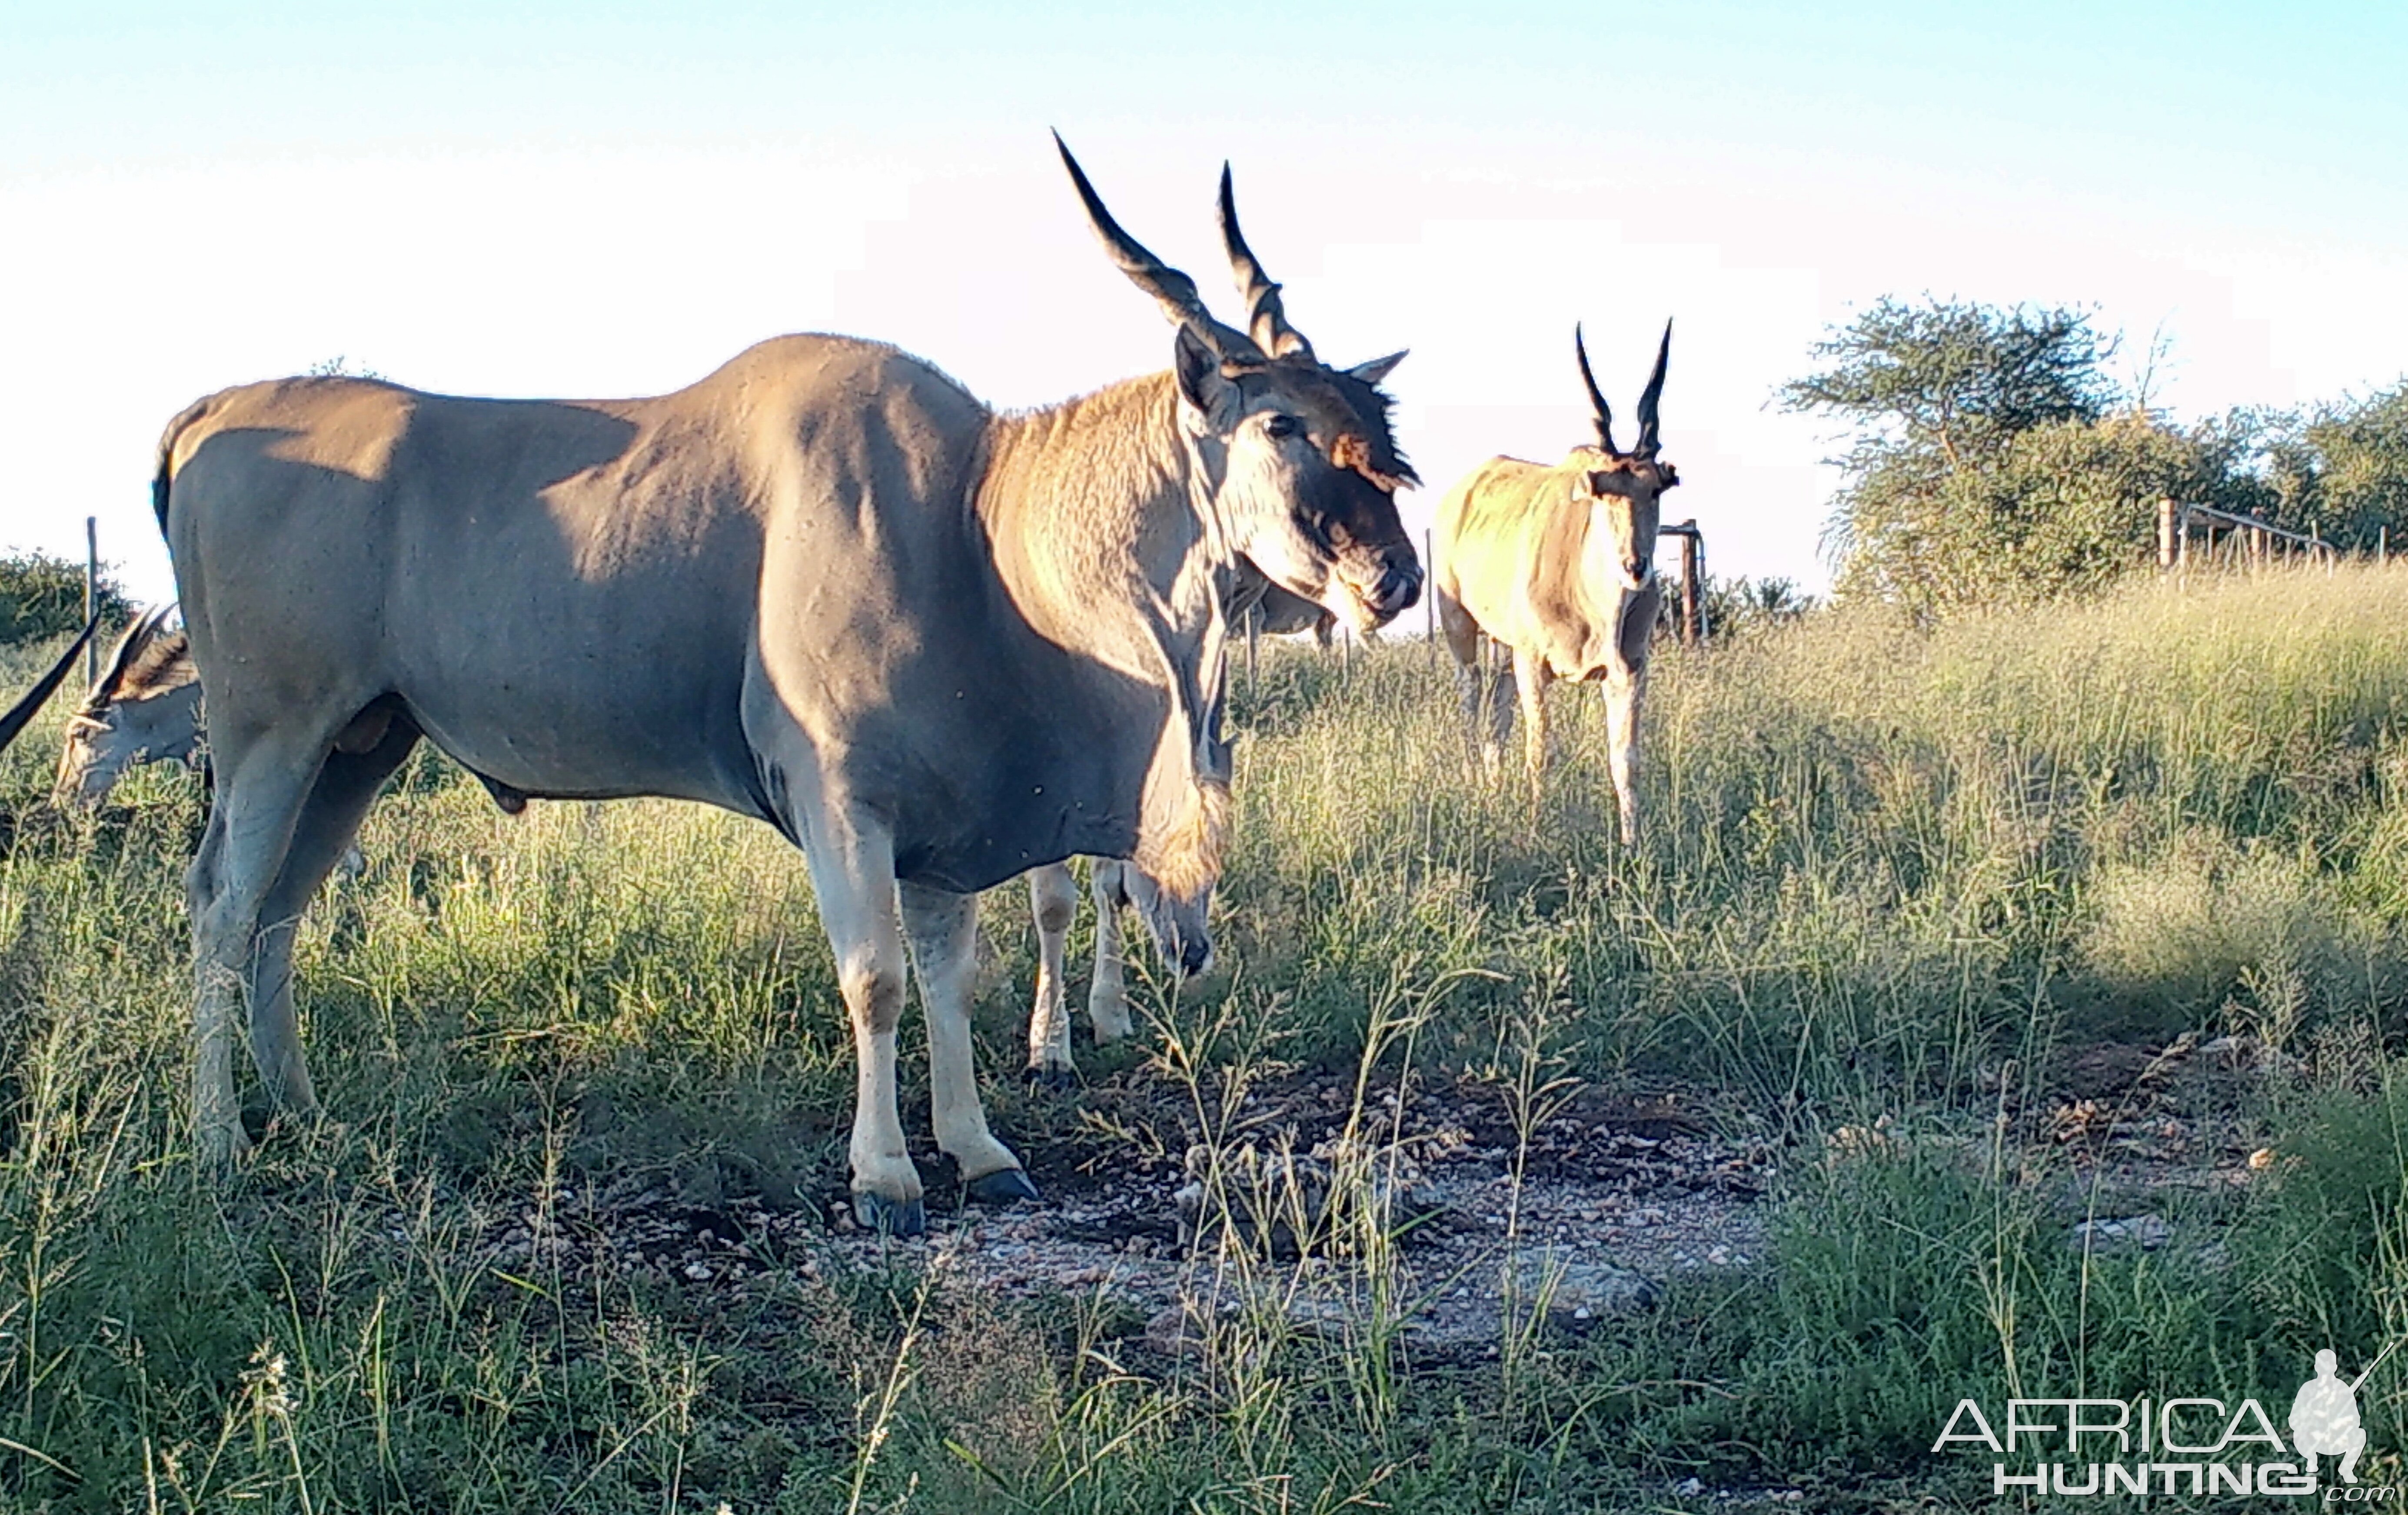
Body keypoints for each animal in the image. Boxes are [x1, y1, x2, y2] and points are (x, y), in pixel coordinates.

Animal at [160, 139, 1416, 1228]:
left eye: (1371, 417)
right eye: (1282, 423)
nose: (1396, 576)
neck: (970, 521)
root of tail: (204, 416)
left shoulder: (943, 820)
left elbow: (949, 979)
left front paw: (978, 1149)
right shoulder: (841, 800)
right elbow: (877, 979)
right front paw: (887, 1177)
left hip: (363, 743)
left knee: (280, 910)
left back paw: (306, 1116)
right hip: (272, 731)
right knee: (221, 905)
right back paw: (219, 1144)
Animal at [1425, 322, 1676, 843]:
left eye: (1656, 489)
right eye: (1604, 492)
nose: (1635, 568)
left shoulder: (1630, 670)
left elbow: (1625, 759)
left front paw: (1633, 843)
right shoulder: (1534, 663)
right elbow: (1541, 753)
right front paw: (1537, 829)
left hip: (1505, 651)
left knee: (1496, 717)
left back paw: (1494, 792)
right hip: (1464, 631)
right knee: (1471, 702)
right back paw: (1473, 785)